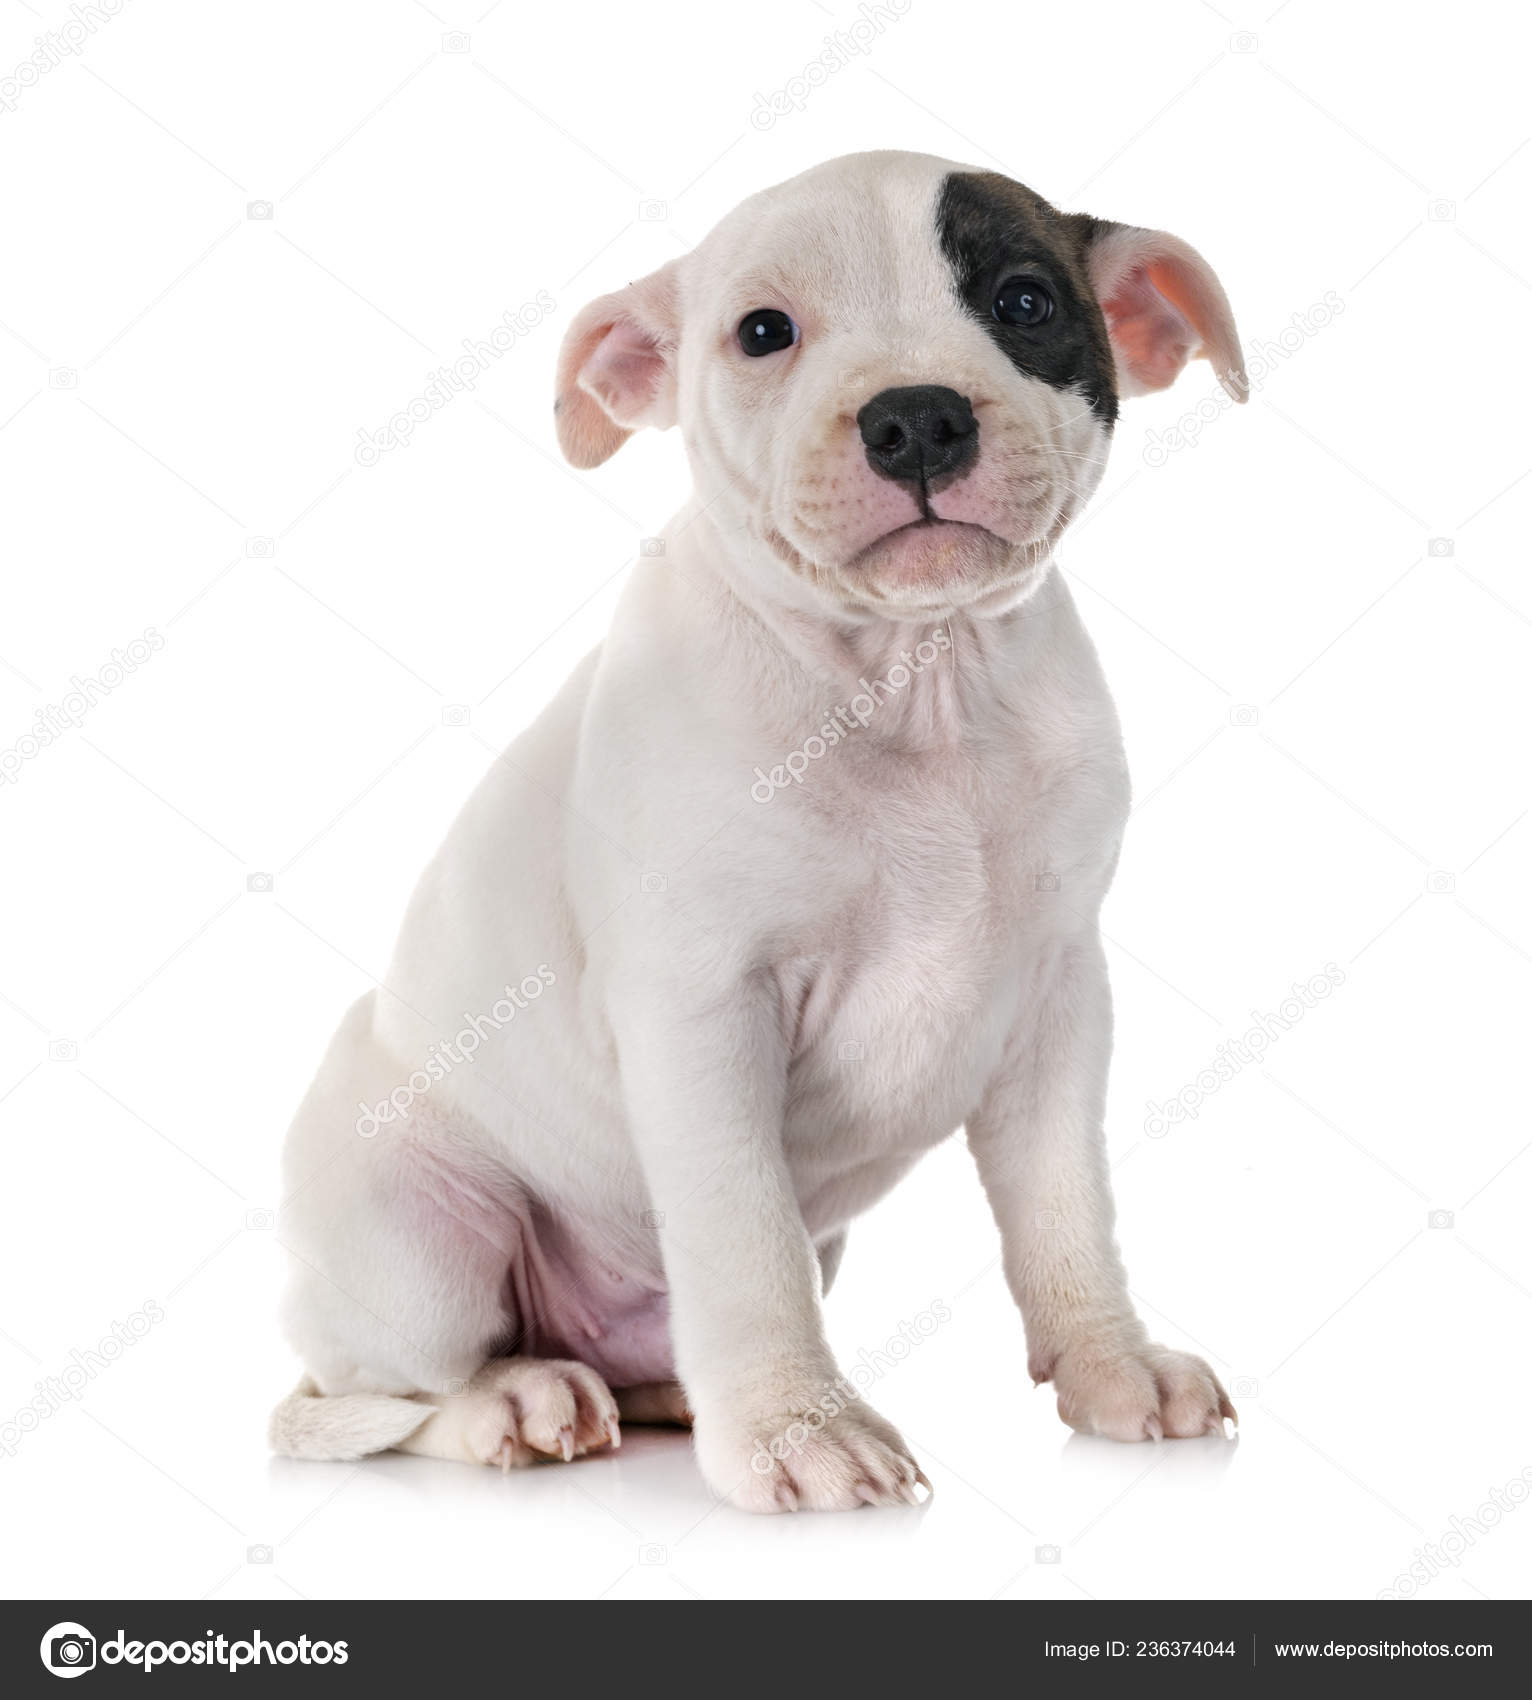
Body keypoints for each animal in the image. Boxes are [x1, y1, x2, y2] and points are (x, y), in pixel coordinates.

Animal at [271, 149, 1245, 1512]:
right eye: (762, 333)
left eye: (1024, 301)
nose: (915, 417)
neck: (914, 680)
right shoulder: (702, 1012)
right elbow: (743, 1238)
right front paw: (796, 1429)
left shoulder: (1055, 997)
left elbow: (1062, 1200)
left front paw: (1112, 1360)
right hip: (414, 1232)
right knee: (375, 1397)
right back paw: (514, 1402)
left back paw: (666, 1392)